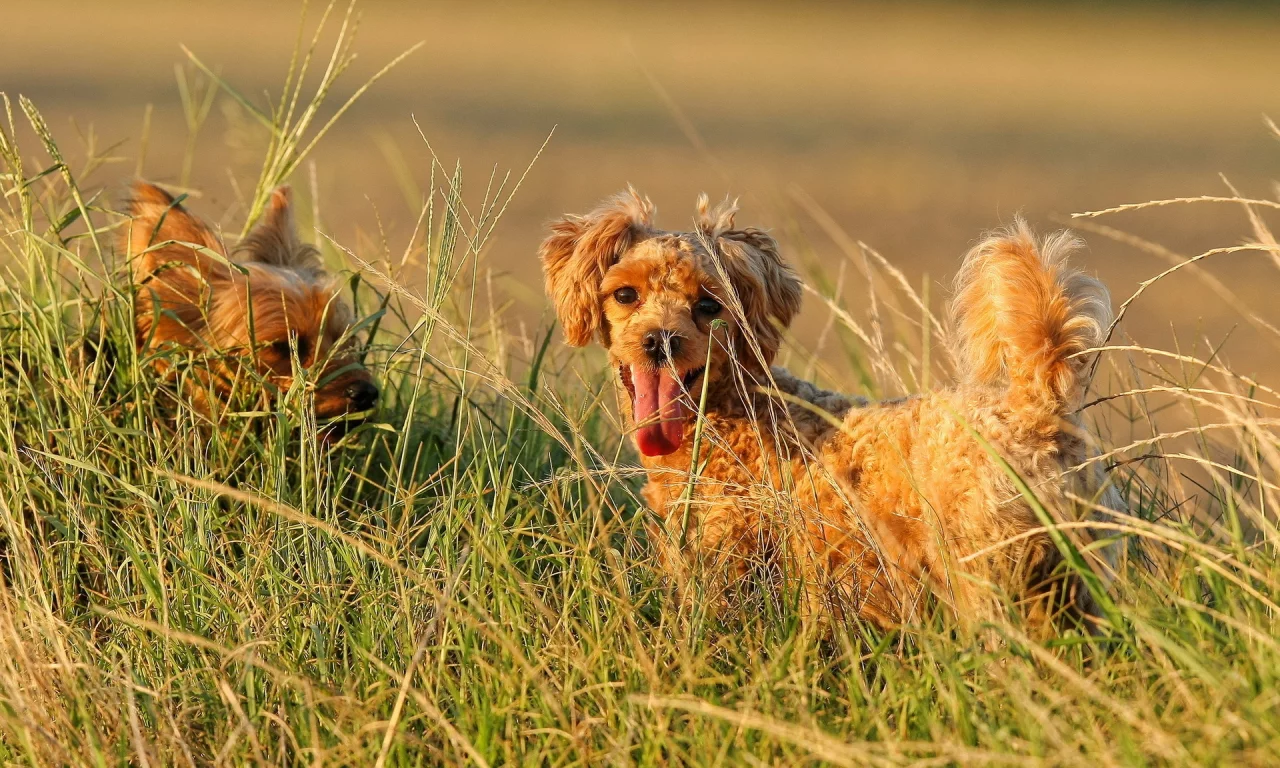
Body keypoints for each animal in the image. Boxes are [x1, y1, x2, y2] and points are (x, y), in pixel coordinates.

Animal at [540, 189, 1121, 632]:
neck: (734, 415)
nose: (660, 340)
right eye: (625, 295)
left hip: (986, 574)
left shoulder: (730, 557)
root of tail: (1036, 404)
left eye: (709, 305)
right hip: (1080, 582)